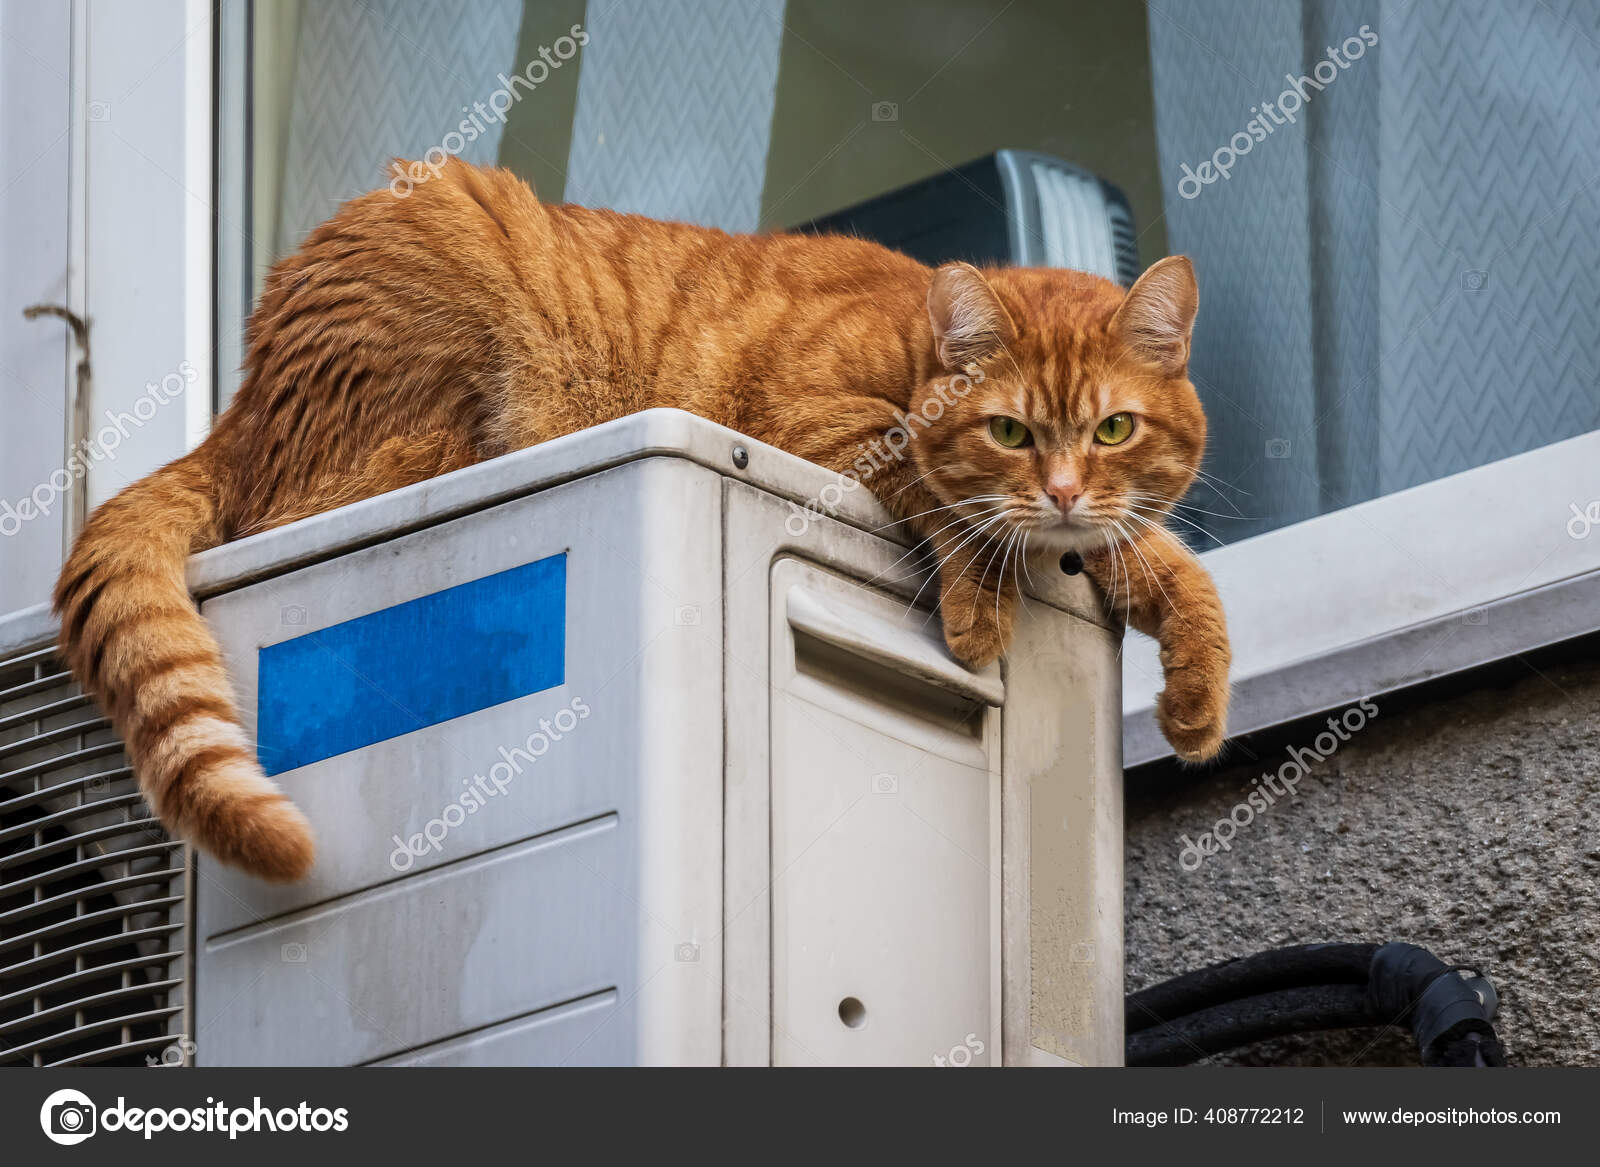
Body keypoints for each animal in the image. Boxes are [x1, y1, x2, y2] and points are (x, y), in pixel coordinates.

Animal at [46, 159, 1222, 877]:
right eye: (1012, 433)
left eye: (1113, 429)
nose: (1061, 489)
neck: (908, 340)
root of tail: (239, 402)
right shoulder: (828, 427)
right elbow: (948, 501)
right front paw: (983, 605)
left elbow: (1165, 559)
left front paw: (1196, 696)